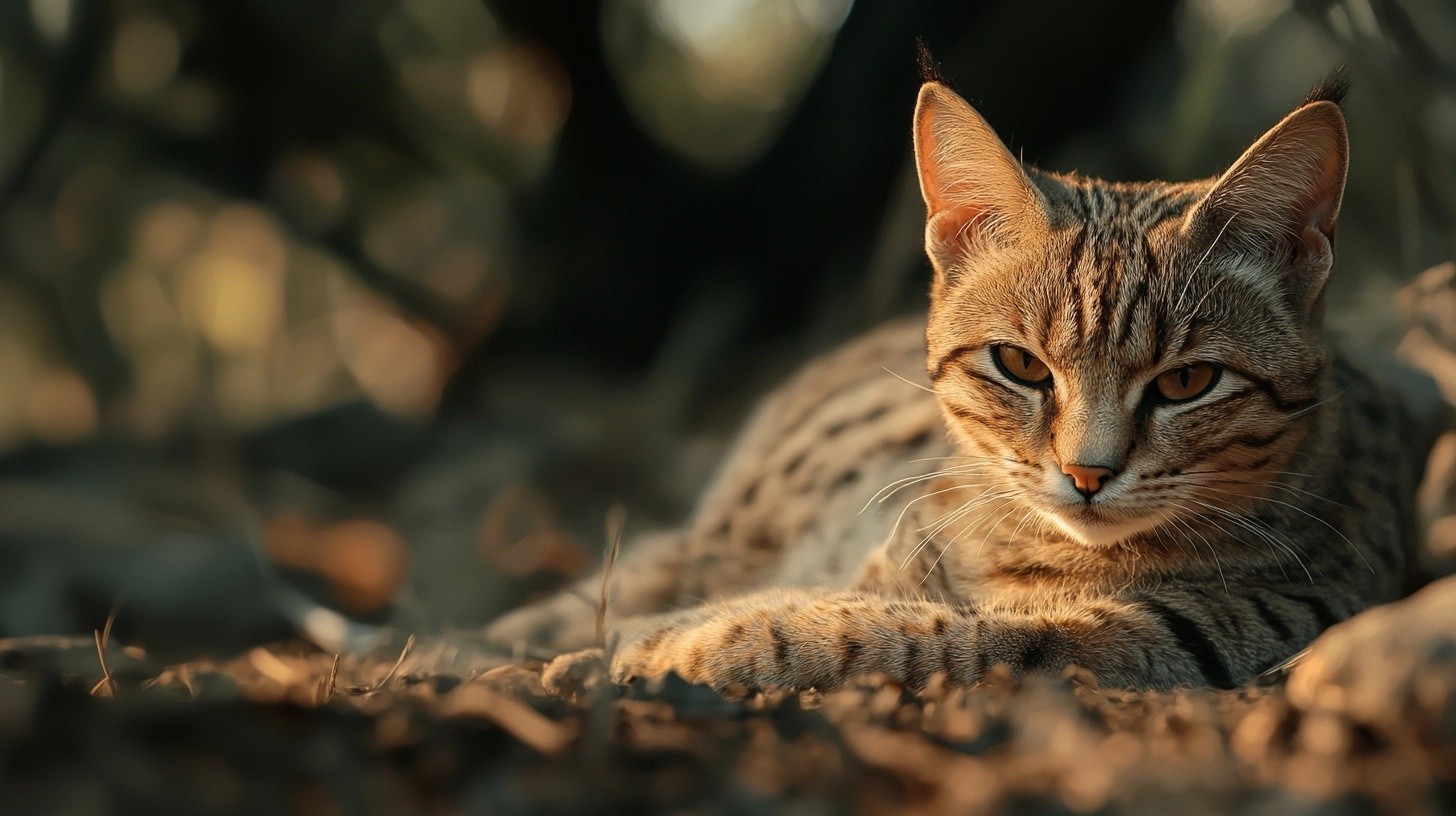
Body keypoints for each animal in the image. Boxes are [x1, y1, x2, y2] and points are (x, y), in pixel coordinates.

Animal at [480, 63, 1421, 690]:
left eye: (1188, 384)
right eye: (1021, 366)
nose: (1087, 475)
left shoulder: (1200, 629)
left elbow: (928, 635)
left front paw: (682, 646)